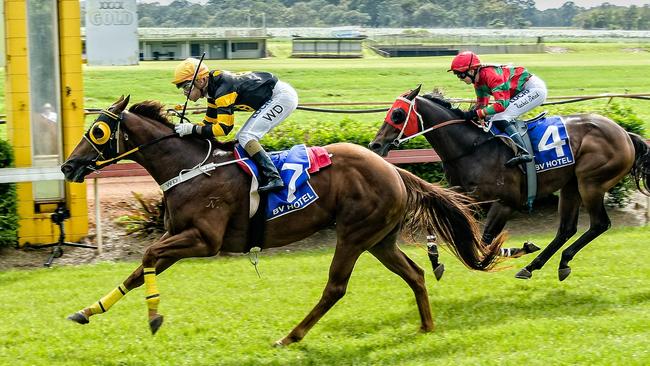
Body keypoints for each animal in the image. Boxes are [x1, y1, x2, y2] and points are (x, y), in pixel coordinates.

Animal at [62, 96, 502, 346]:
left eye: (97, 131)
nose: (68, 166)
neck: (190, 167)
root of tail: (394, 169)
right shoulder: (180, 235)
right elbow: (141, 269)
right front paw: (87, 310)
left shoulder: (204, 240)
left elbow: (149, 255)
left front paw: (154, 318)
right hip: (379, 239)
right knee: (415, 274)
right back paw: (426, 327)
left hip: (354, 234)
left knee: (335, 288)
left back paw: (291, 336)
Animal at [368, 87, 644, 282]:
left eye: (397, 114)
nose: (375, 145)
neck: (472, 148)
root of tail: (624, 133)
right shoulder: (461, 194)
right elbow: (438, 221)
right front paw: (435, 260)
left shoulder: (506, 202)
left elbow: (484, 242)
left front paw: (518, 248)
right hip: (571, 186)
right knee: (566, 229)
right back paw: (536, 266)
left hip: (591, 183)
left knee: (599, 224)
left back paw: (558, 260)